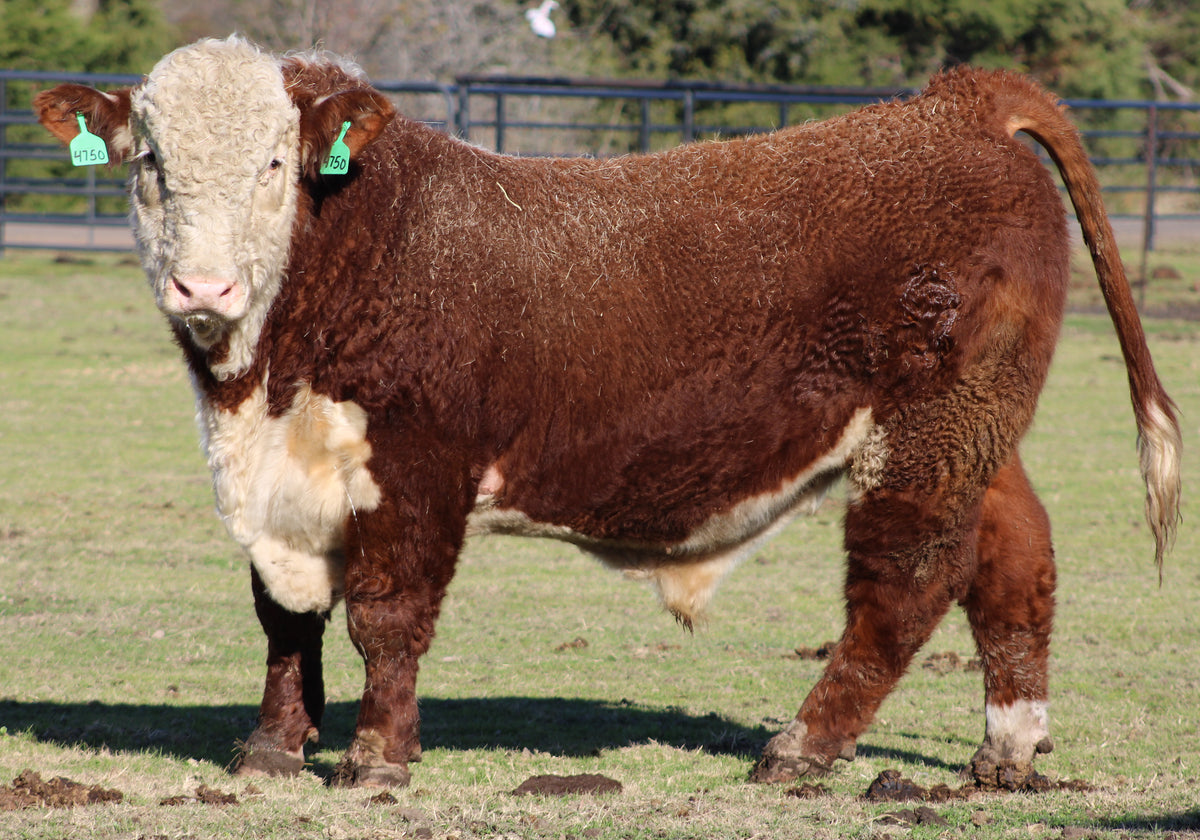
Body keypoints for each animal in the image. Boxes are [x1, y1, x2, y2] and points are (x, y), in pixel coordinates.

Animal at [35, 36, 1180, 792]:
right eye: (149, 161)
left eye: (275, 161)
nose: (204, 288)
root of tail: (954, 103)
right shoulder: (280, 485)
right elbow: (286, 615)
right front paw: (273, 749)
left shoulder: (417, 466)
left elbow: (387, 616)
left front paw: (377, 760)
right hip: (977, 432)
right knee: (1014, 561)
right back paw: (1006, 750)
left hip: (925, 436)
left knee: (908, 582)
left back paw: (801, 749)